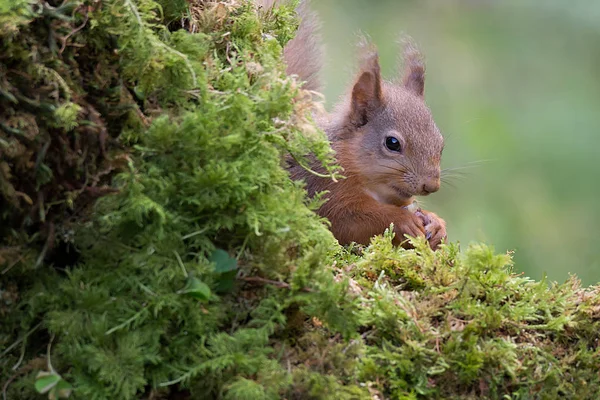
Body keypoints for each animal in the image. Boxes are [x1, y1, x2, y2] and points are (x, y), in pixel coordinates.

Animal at [258, 0, 446, 250]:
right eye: (392, 143)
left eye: (441, 144)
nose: (431, 185)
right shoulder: (323, 186)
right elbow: (345, 223)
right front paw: (401, 219)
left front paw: (437, 224)